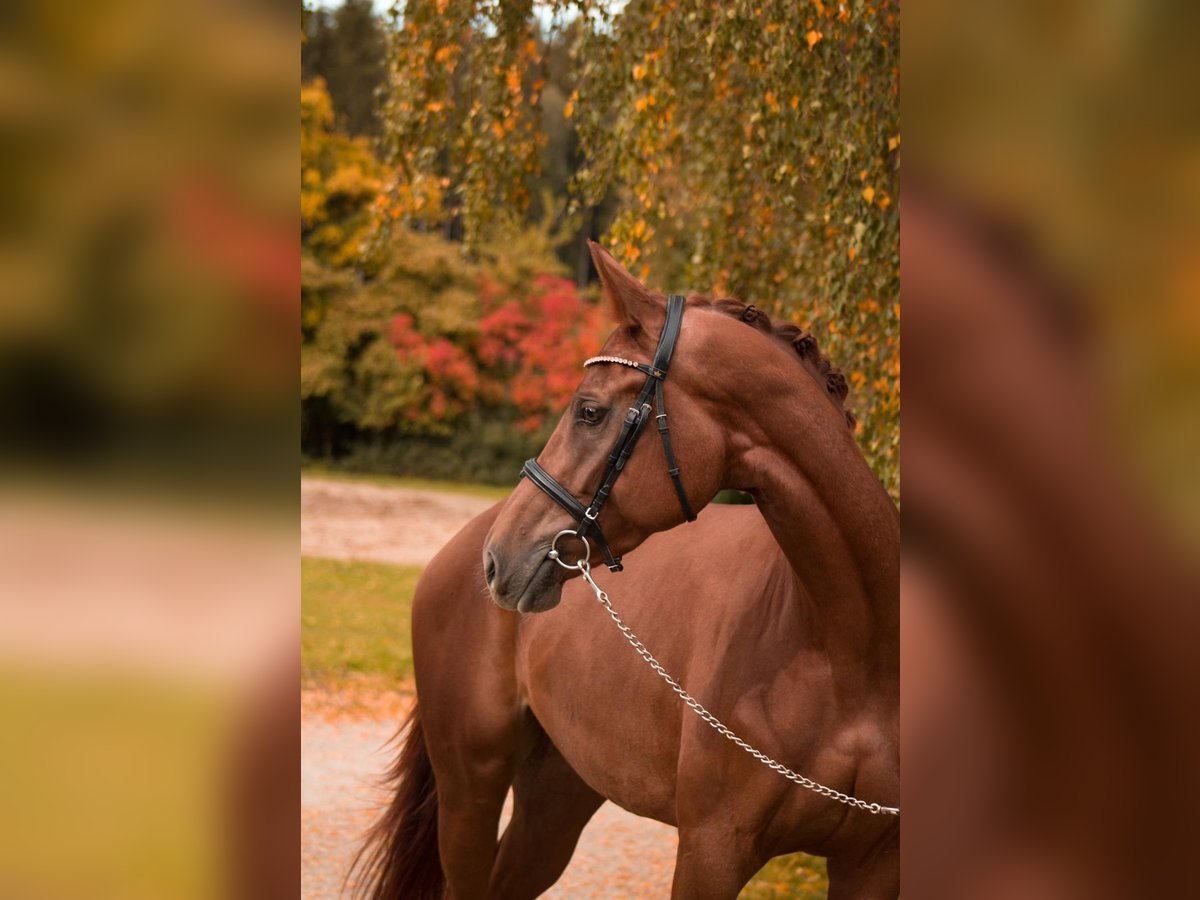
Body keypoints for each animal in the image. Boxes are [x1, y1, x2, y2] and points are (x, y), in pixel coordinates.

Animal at [355, 247, 902, 900]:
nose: (498, 559)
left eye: (590, 411)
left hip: (558, 795)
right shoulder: (711, 850)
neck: (848, 655)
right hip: (470, 789)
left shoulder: (872, 863)